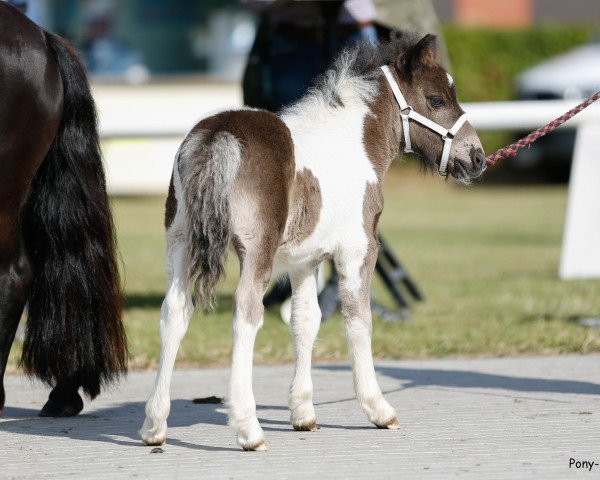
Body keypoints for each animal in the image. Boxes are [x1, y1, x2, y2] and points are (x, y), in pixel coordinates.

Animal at [142, 33, 488, 450]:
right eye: (436, 99)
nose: (478, 157)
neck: (354, 141)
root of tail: (218, 136)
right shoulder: (359, 248)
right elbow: (358, 320)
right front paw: (378, 408)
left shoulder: (304, 259)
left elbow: (305, 320)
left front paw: (303, 414)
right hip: (255, 250)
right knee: (246, 311)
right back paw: (247, 428)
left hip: (180, 240)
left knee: (175, 310)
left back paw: (155, 425)